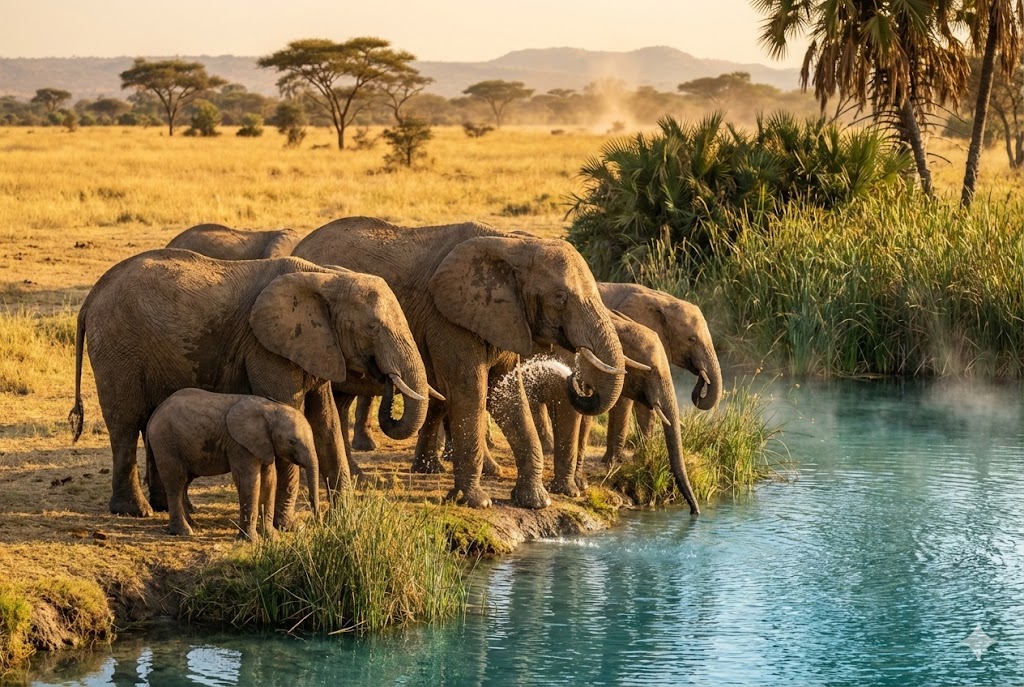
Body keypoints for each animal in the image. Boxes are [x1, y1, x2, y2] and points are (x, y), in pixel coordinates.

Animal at [145, 389, 320, 539]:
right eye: (292, 442)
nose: (318, 523)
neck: (271, 409)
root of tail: (154, 414)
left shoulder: (264, 445)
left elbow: (269, 481)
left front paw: (272, 538)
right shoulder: (239, 444)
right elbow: (248, 481)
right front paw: (251, 540)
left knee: (184, 482)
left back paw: (194, 525)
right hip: (166, 443)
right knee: (176, 482)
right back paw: (184, 532)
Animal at [292, 217, 627, 509]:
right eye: (560, 297)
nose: (576, 380)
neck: (512, 245)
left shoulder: (503, 318)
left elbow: (507, 396)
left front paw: (535, 502)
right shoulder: (448, 320)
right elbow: (471, 393)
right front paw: (476, 502)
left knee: (340, 401)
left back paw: (358, 477)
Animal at [521, 312, 701, 514]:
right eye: (650, 371)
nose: (694, 512)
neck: (615, 324)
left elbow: (585, 416)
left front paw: (580, 485)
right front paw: (570, 490)